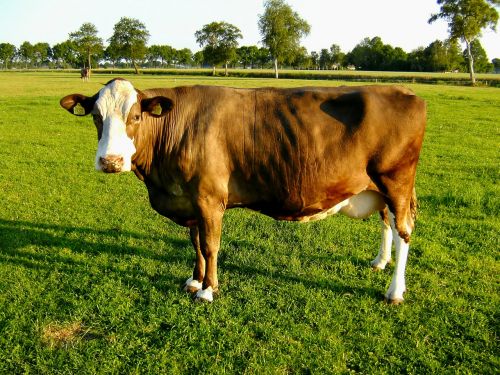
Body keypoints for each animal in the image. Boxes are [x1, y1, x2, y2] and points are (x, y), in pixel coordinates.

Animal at [59, 78, 426, 306]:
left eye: (136, 116)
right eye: (96, 116)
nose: (111, 161)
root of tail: (405, 91)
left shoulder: (208, 197)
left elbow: (211, 245)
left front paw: (208, 291)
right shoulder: (191, 200)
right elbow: (196, 244)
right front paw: (195, 281)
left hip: (395, 181)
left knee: (404, 230)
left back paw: (395, 291)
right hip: (379, 188)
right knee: (387, 223)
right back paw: (380, 261)